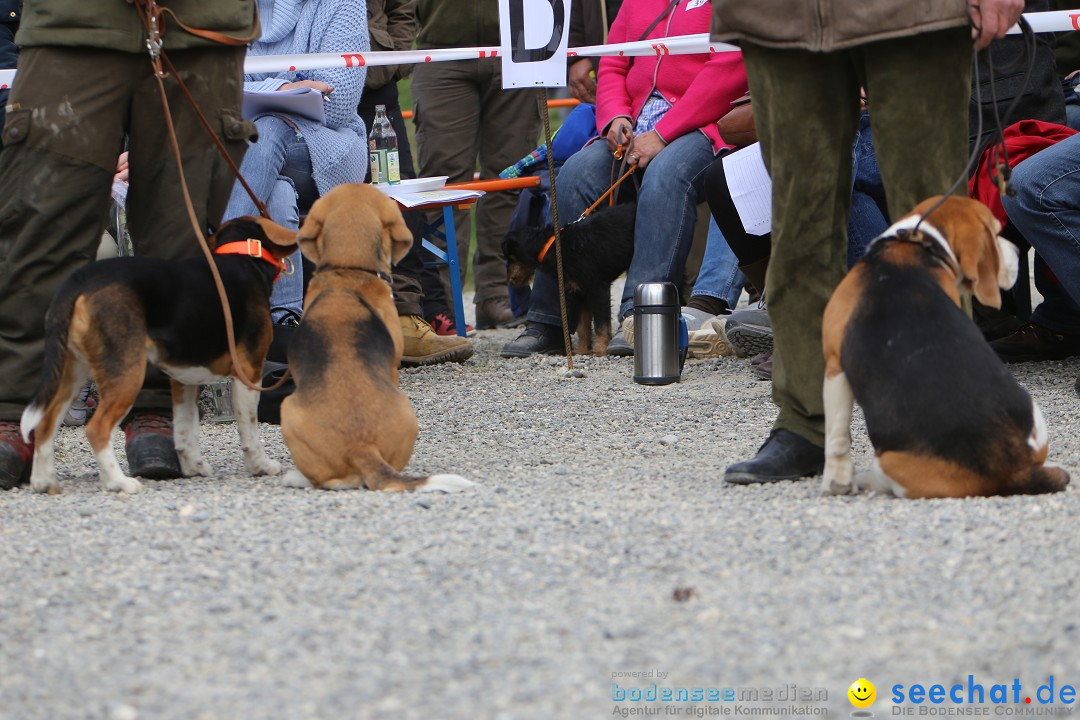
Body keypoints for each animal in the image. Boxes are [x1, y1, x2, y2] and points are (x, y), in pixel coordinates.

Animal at [503, 201, 630, 356]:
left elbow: (601, 325)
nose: (509, 280)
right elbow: (583, 327)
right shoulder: (578, 292)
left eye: (511, 258)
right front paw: (582, 350)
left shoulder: (597, 289)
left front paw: (600, 350)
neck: (553, 247)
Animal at [820, 197, 1067, 500]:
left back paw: (867, 480)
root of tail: (1014, 467)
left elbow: (836, 437)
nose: (1018, 252)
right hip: (1035, 418)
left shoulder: (834, 365)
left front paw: (836, 482)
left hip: (889, 461)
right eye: (995, 231)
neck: (917, 245)